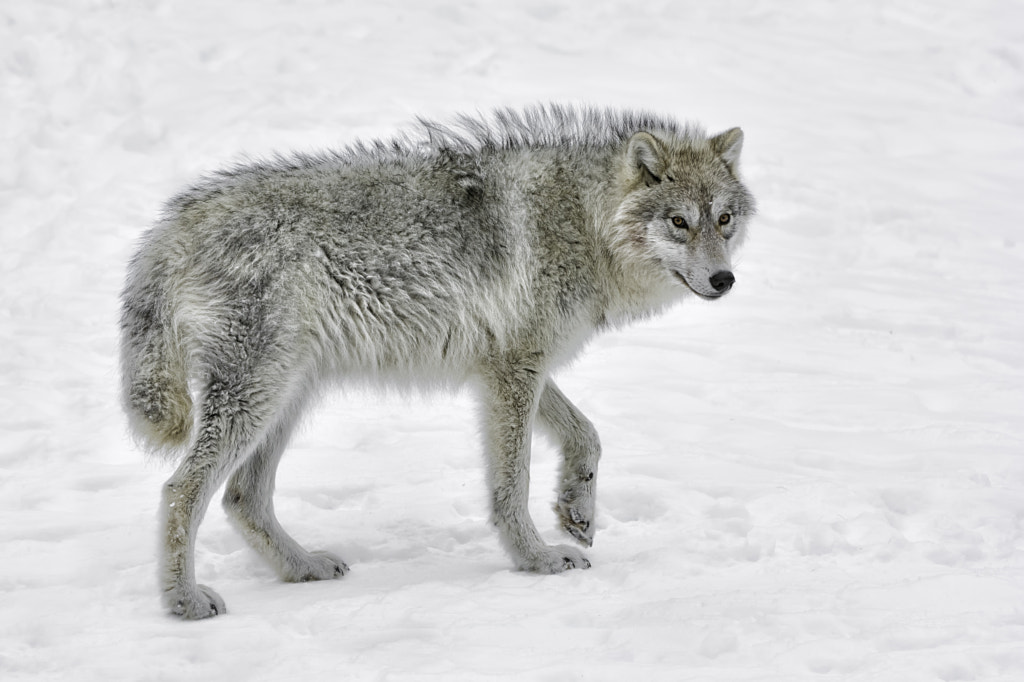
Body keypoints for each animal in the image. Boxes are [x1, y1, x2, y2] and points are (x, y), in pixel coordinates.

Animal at [119, 102, 757, 614]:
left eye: (723, 220)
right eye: (679, 222)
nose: (725, 280)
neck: (583, 220)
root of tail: (172, 225)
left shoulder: (510, 365)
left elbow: (588, 435)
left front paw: (576, 510)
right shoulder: (514, 372)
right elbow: (512, 484)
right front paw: (537, 560)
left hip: (288, 395)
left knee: (242, 497)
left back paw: (303, 569)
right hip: (258, 397)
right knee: (181, 491)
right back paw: (183, 602)